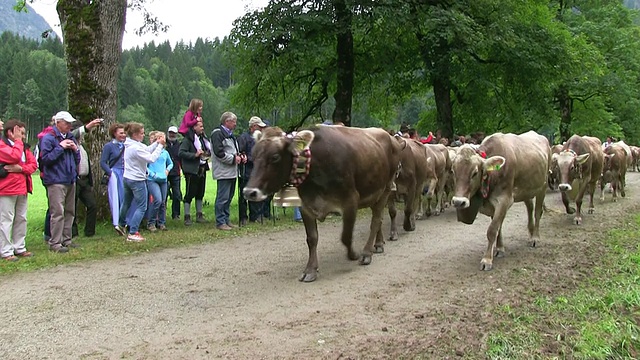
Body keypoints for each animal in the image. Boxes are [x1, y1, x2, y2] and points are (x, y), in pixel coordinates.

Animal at [242, 125, 402, 282]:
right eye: (253, 155)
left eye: (275, 157)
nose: (249, 192)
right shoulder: (305, 206)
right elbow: (312, 238)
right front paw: (310, 270)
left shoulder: (350, 200)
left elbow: (346, 236)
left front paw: (354, 254)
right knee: (378, 219)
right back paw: (378, 244)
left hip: (386, 188)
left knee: (376, 221)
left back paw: (367, 253)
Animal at [450, 131, 552, 270]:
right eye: (453, 171)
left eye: (475, 173)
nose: (458, 202)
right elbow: (499, 228)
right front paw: (499, 249)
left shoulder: (504, 199)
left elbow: (492, 230)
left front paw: (487, 260)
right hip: (526, 190)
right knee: (530, 208)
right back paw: (531, 233)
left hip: (543, 186)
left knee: (537, 212)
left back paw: (535, 237)